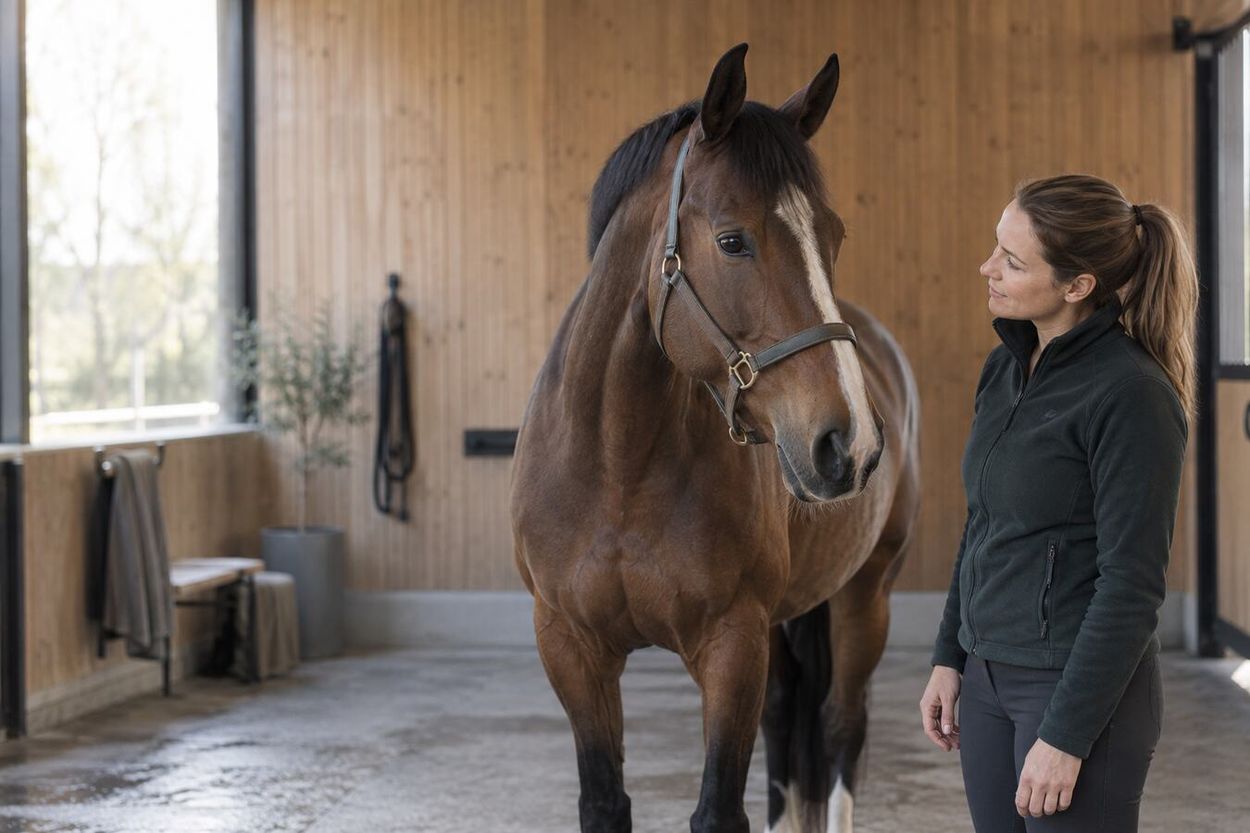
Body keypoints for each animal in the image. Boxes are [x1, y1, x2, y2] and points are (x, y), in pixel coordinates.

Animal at [511, 43, 920, 833]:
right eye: (733, 240)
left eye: (833, 236)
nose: (850, 443)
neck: (618, 468)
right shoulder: (571, 648)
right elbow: (605, 800)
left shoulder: (734, 643)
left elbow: (719, 807)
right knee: (790, 722)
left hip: (866, 595)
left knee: (840, 728)